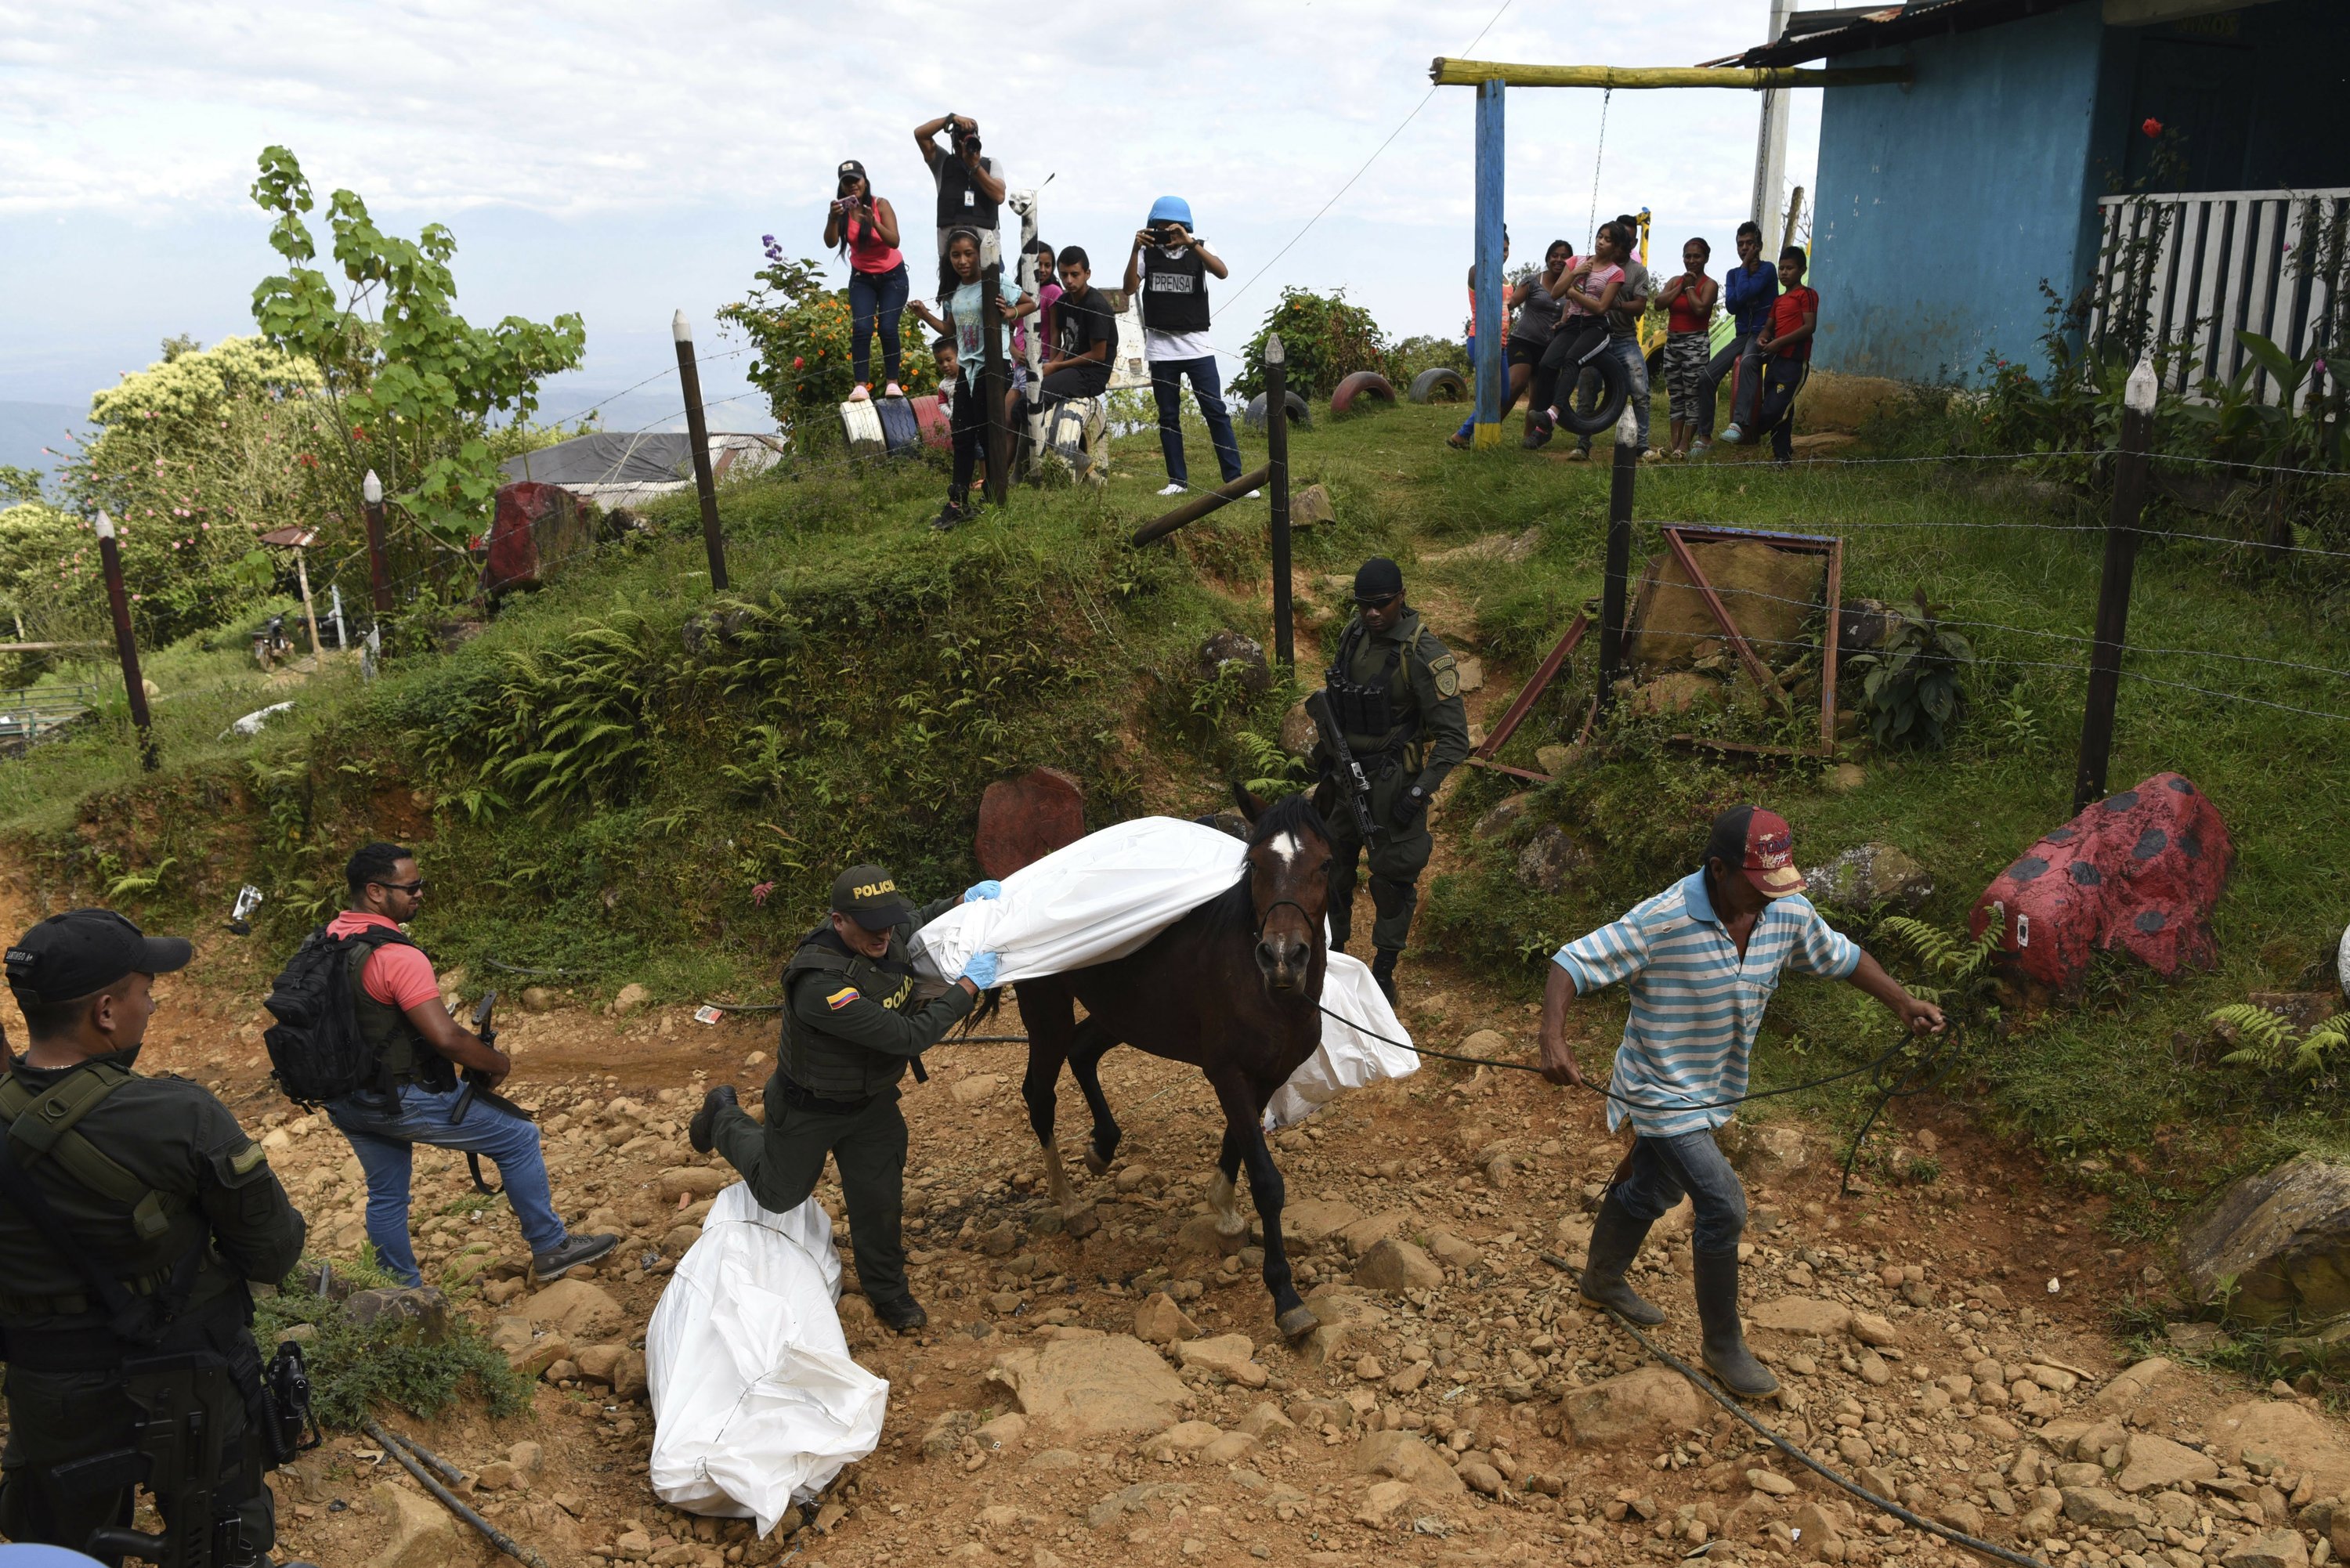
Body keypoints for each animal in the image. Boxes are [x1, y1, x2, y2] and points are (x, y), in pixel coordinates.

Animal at [1010, 789, 1344, 1344]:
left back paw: (1103, 1147)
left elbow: (1238, 1142)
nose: (1282, 957)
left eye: (1325, 863)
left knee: (1083, 1052)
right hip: (1047, 1014)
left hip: (1121, 1014)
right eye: (1255, 864)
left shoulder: (1265, 1074)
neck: (1267, 992)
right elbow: (1266, 1180)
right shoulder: (1228, 1072)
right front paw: (1286, 1298)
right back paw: (1069, 1202)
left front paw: (1224, 1210)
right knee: (1040, 1094)